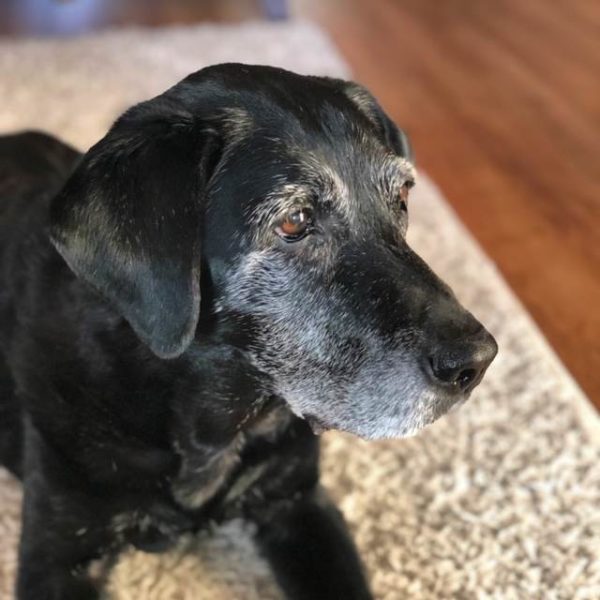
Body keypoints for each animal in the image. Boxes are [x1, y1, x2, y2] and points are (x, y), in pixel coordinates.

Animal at [0, 63, 496, 596]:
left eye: (402, 196)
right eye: (295, 221)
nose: (478, 361)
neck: (210, 419)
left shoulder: (298, 503)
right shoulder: (59, 554)